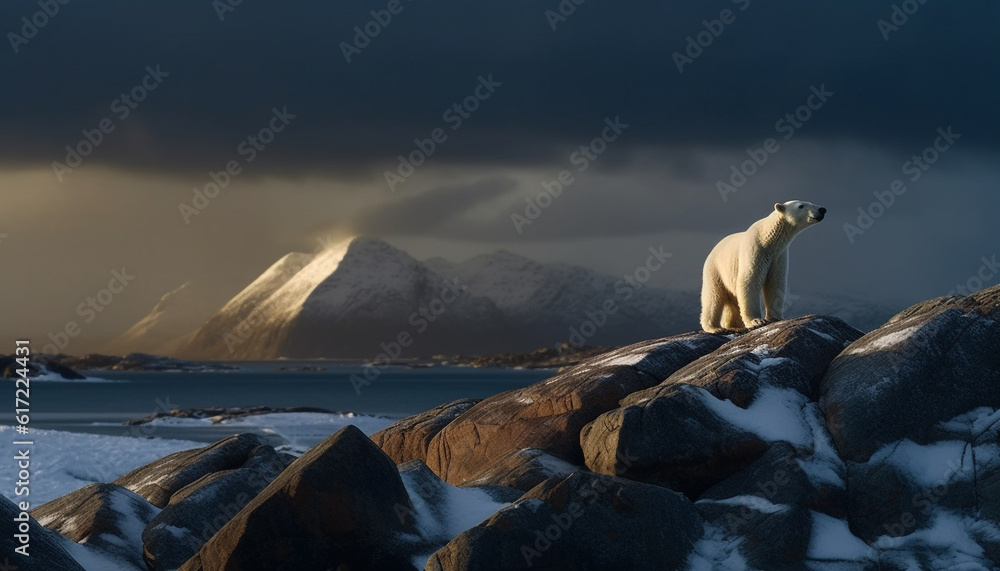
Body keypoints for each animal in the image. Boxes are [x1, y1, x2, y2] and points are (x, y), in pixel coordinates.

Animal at [700, 201, 824, 336]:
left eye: (810, 202)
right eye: (801, 206)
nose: (822, 209)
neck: (767, 238)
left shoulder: (778, 256)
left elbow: (775, 282)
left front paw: (776, 317)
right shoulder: (756, 250)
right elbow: (750, 280)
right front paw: (756, 321)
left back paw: (734, 326)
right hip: (715, 269)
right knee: (713, 297)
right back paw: (714, 327)